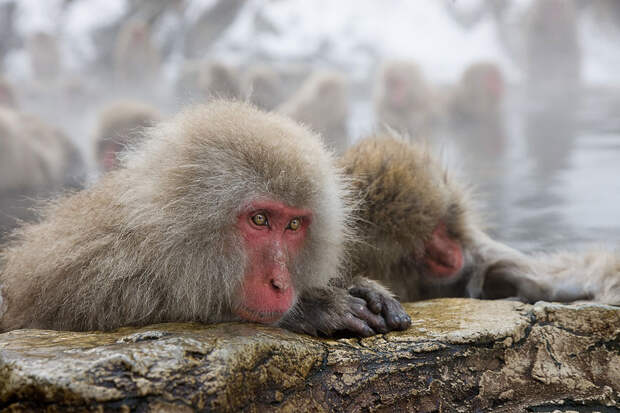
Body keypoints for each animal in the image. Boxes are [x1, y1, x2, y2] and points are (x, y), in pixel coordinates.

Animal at [0, 101, 412, 336]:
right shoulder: (102, 274)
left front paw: (360, 287)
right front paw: (313, 308)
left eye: (293, 225)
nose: (281, 283)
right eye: (259, 220)